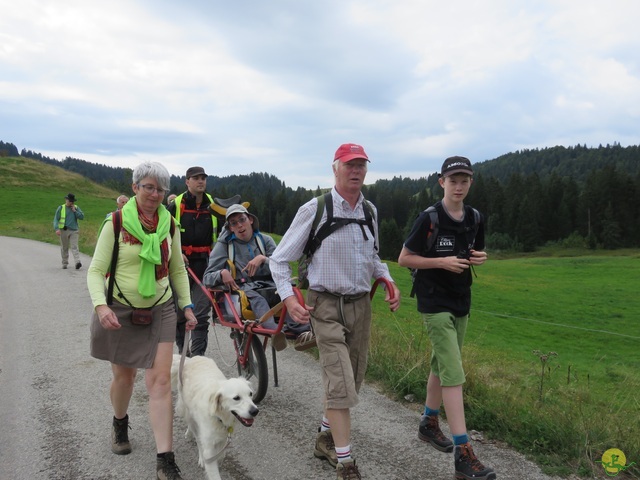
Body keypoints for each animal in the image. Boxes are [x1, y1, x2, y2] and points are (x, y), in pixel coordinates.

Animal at [172, 352, 260, 480]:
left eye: (250, 394)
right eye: (236, 398)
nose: (255, 411)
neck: (219, 416)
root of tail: (190, 359)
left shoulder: (223, 437)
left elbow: (221, 453)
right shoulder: (209, 448)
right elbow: (212, 468)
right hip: (190, 415)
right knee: (197, 438)